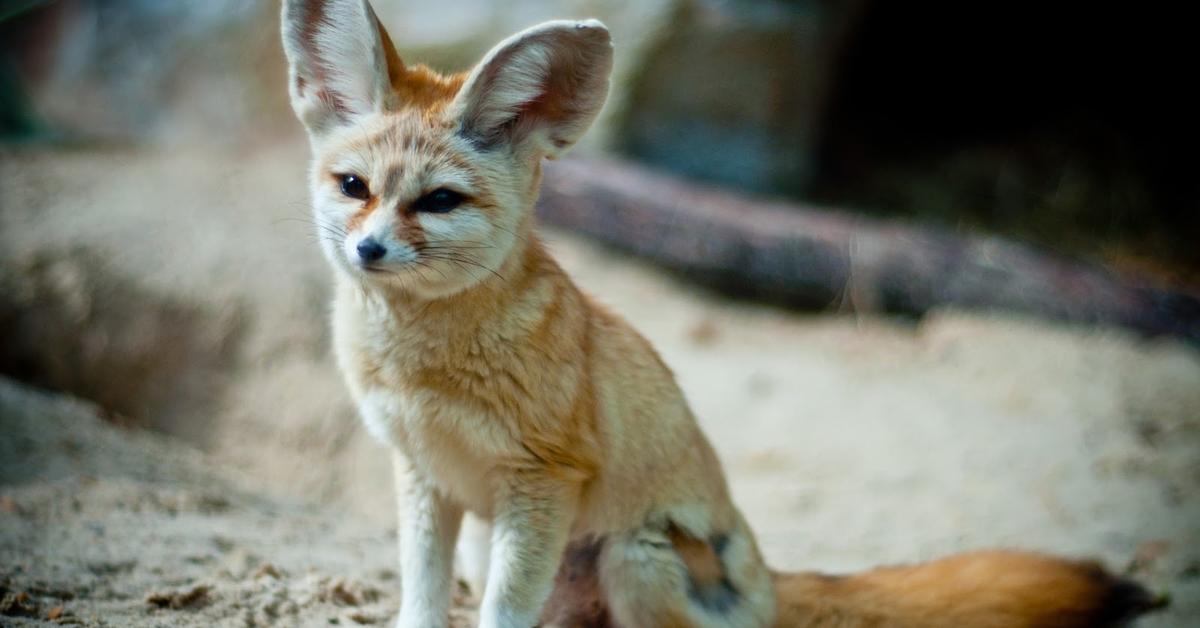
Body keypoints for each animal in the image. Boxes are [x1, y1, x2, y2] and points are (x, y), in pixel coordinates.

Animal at [280, 2, 1161, 624]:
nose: (369, 252)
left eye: (439, 202)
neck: (424, 368)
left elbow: (501, 614)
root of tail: (771, 583)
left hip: (633, 557)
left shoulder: (540, 482)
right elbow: (421, 602)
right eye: (355, 188)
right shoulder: (426, 477)